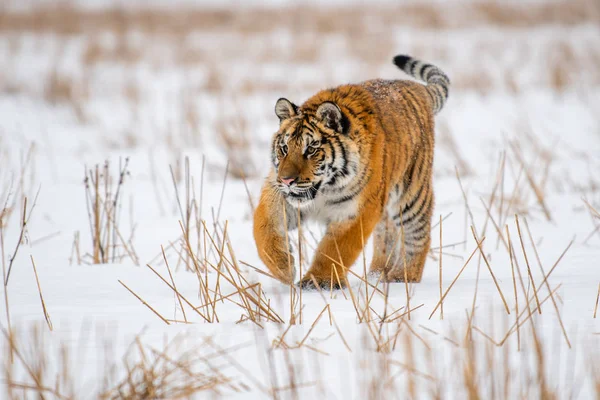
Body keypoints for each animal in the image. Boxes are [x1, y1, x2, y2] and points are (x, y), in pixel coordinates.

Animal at [253, 55, 450, 288]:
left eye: (311, 149)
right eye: (284, 148)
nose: (286, 180)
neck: (325, 189)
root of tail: (417, 88)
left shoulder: (356, 210)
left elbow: (334, 249)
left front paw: (318, 282)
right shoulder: (278, 194)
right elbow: (264, 228)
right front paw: (284, 267)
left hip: (413, 194)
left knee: (418, 235)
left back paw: (402, 276)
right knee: (386, 234)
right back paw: (377, 274)